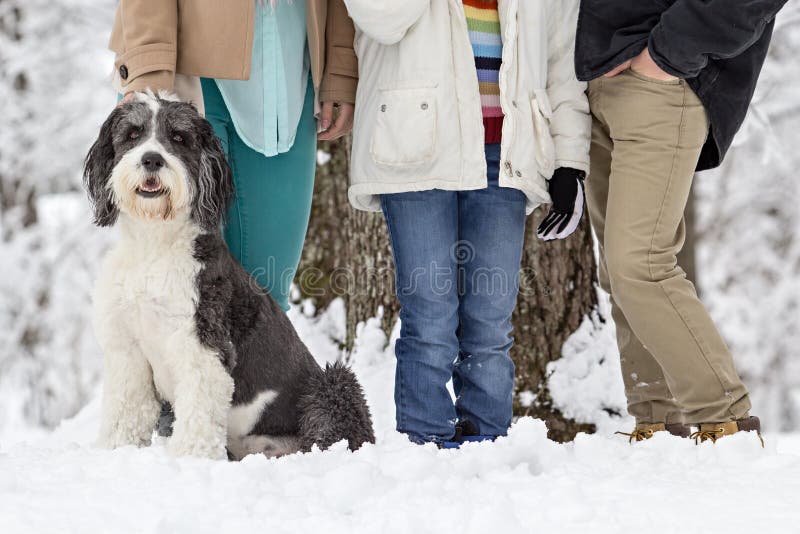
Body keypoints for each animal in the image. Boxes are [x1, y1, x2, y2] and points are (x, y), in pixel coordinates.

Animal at [84, 92, 376, 460]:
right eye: (133, 135)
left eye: (179, 138)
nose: (152, 159)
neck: (154, 246)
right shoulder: (128, 350)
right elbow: (126, 412)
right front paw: (116, 452)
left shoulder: (203, 344)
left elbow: (197, 416)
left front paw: (189, 460)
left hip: (332, 385)